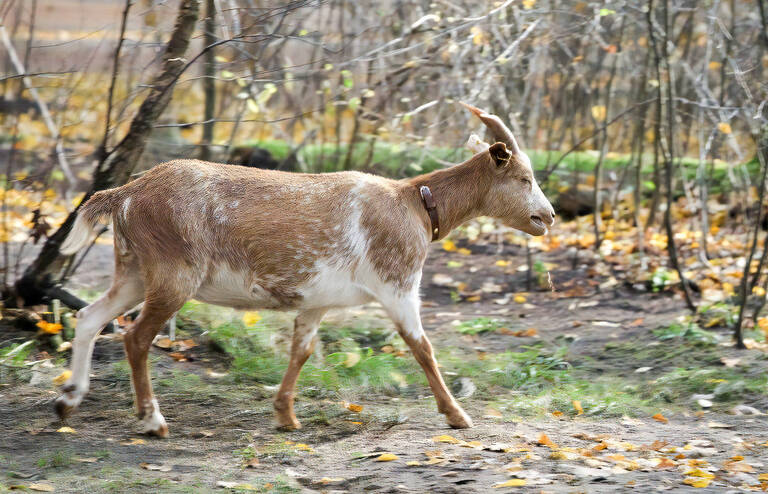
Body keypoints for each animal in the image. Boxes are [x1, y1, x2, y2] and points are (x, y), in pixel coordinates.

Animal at [55, 104, 560, 436]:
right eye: (524, 178)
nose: (549, 216)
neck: (415, 204)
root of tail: (126, 194)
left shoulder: (317, 302)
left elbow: (301, 350)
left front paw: (286, 415)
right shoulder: (397, 285)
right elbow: (423, 348)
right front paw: (457, 415)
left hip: (135, 270)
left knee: (89, 316)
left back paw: (68, 400)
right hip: (173, 273)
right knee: (135, 337)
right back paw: (152, 420)